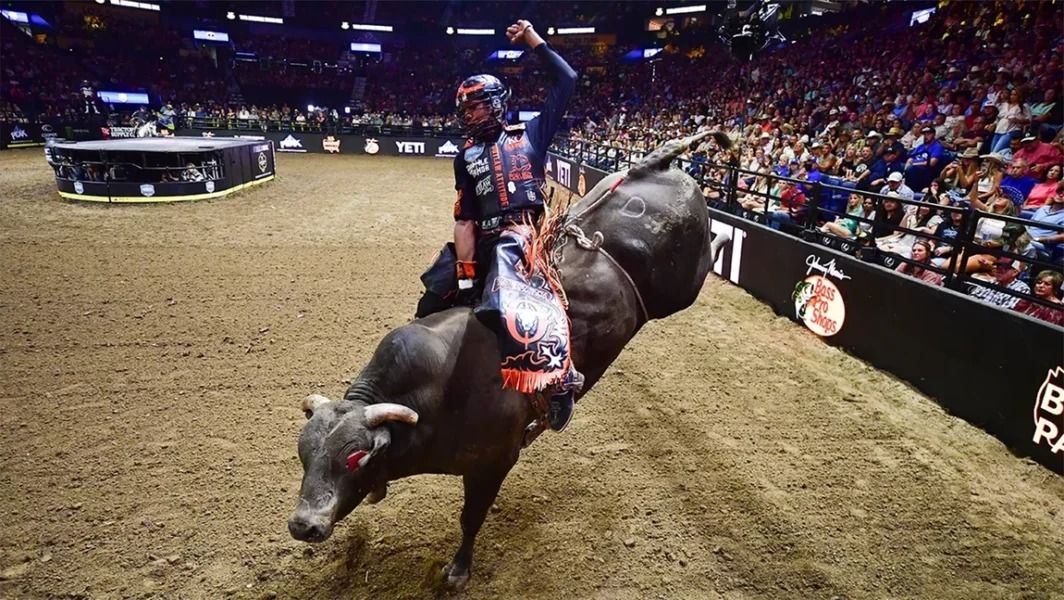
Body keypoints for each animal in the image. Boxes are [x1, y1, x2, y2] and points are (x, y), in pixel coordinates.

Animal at [287, 130, 736, 587]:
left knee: (713, 251)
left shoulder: (493, 463)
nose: (304, 525)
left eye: (353, 456)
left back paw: (725, 240)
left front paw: (458, 571)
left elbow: (470, 518)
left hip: (682, 286)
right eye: (304, 454)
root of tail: (654, 165)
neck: (435, 394)